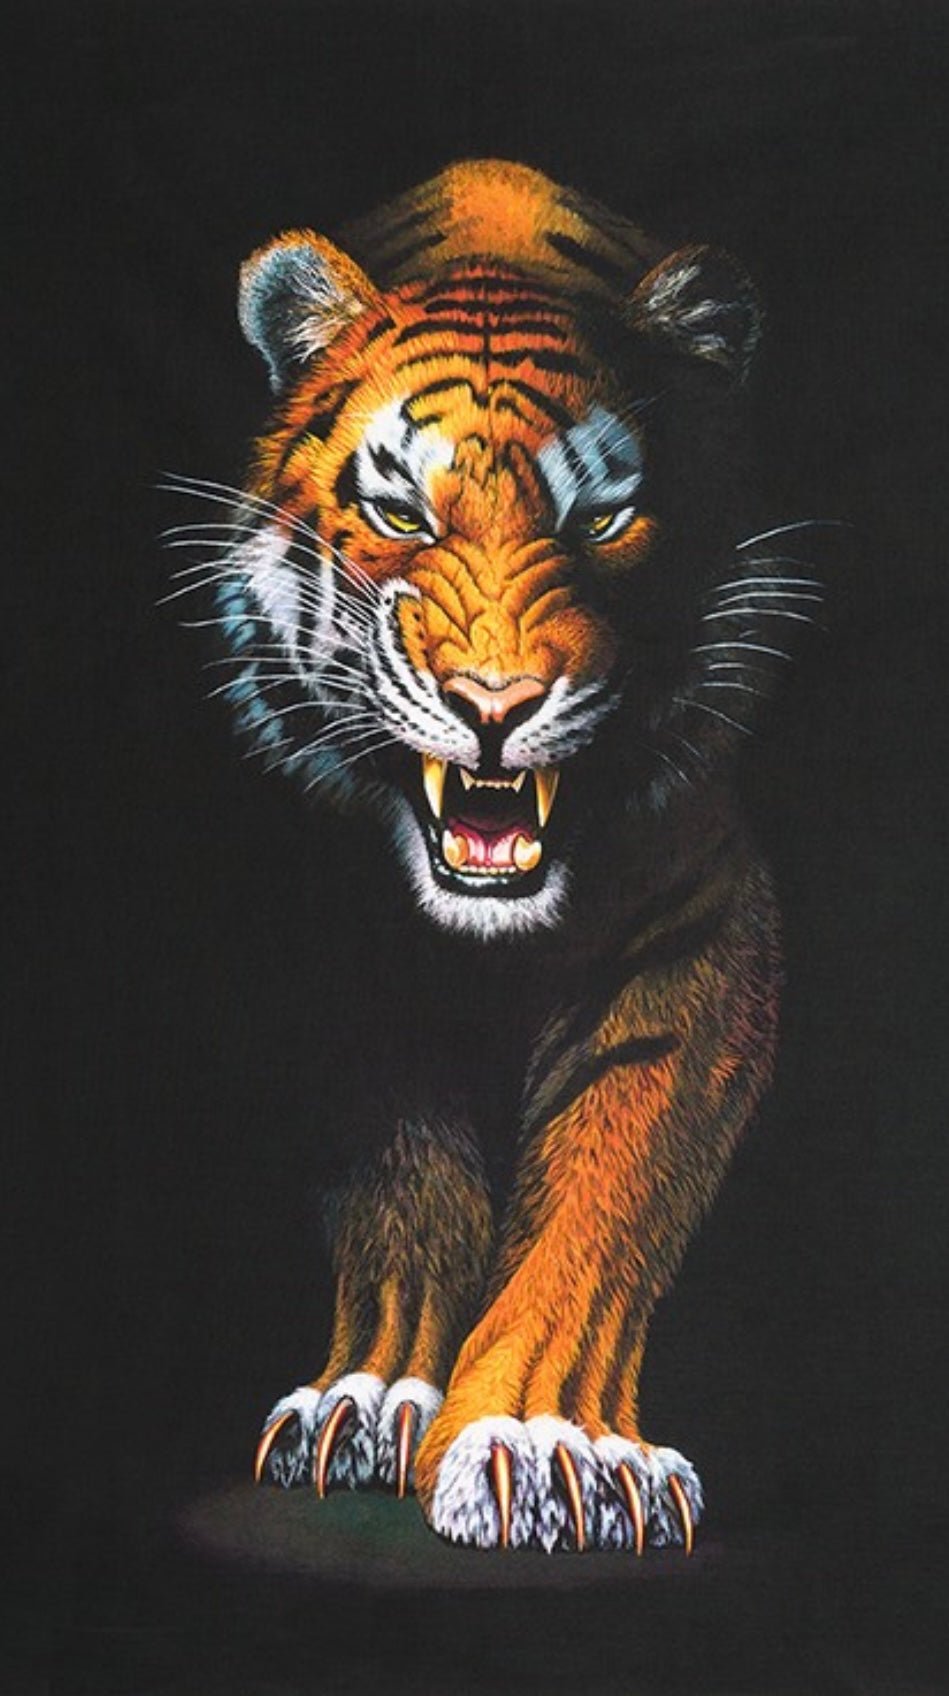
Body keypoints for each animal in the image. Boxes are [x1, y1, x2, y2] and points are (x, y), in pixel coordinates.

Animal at [170, 160, 819, 1552]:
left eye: (604, 517)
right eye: (399, 508)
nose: (494, 702)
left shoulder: (701, 936)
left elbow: (602, 1209)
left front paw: (550, 1443)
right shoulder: (338, 957)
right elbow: (404, 1189)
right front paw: (372, 1399)